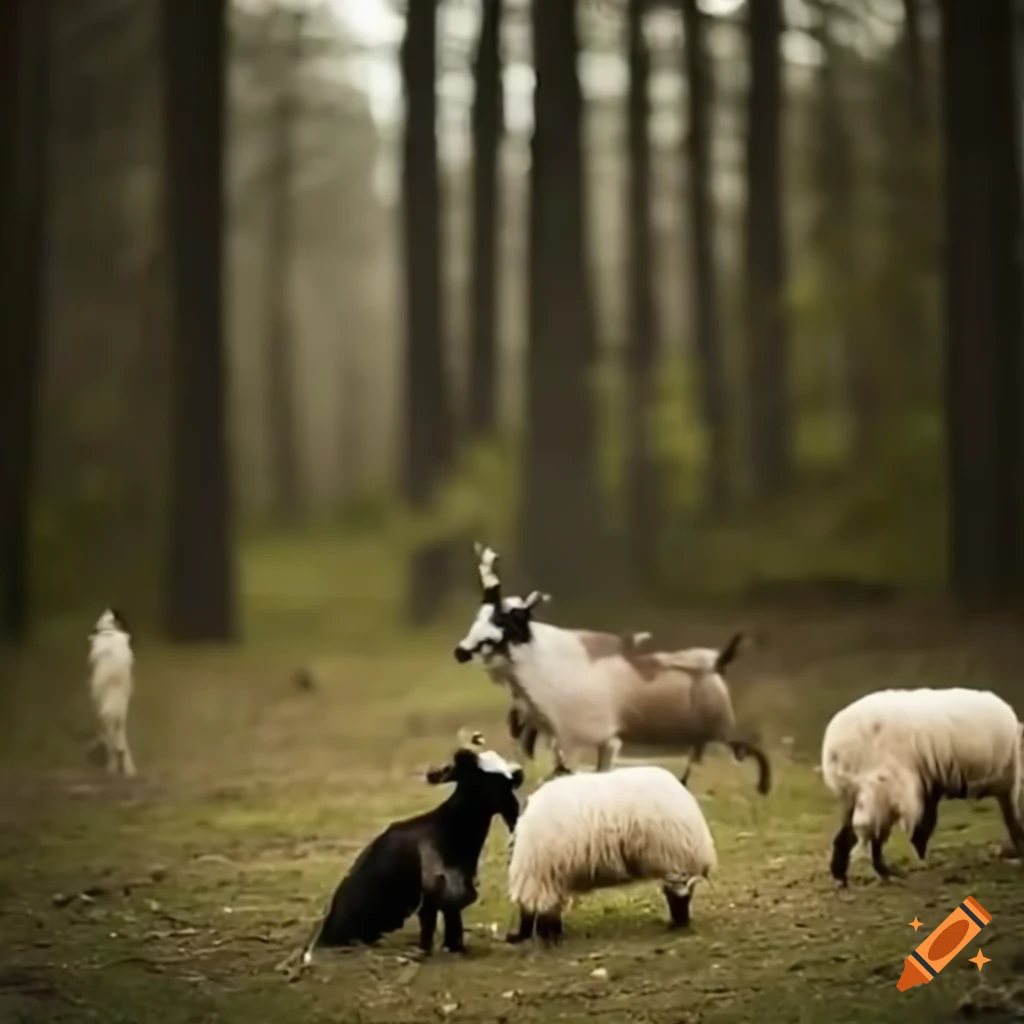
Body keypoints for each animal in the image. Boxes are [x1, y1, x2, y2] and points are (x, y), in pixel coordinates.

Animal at [87, 608, 136, 777]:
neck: (109, 630)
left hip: (104, 710)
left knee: (111, 743)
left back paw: (111, 767)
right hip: (121, 712)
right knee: (120, 743)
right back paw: (128, 768)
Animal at [302, 732, 523, 962]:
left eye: (510, 782)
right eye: (482, 779)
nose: (515, 811)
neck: (451, 835)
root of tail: (321, 937)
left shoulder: (453, 895)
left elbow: (453, 927)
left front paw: (456, 949)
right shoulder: (430, 898)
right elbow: (430, 930)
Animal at [452, 543, 770, 793]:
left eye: (508, 621)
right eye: (479, 615)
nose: (460, 652)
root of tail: (719, 660)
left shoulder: (598, 740)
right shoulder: (566, 741)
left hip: (719, 735)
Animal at [821, 687, 1024, 885]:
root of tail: (833, 750)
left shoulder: (933, 781)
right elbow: (1012, 820)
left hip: (861, 792)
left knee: (854, 832)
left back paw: (846, 874)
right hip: (882, 789)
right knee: (869, 834)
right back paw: (878, 872)